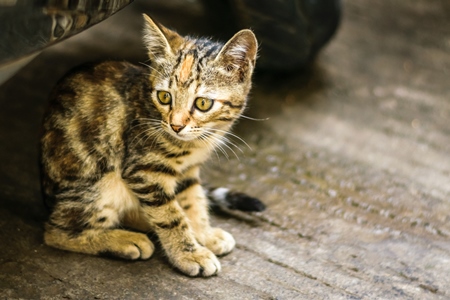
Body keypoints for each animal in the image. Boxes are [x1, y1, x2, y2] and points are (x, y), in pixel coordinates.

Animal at [40, 14, 262, 276]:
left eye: (203, 103)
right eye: (165, 97)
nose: (176, 125)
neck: (195, 143)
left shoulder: (188, 171)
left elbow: (193, 201)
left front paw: (204, 234)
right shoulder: (145, 171)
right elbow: (171, 215)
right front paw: (190, 254)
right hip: (101, 182)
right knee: (55, 231)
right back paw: (125, 240)